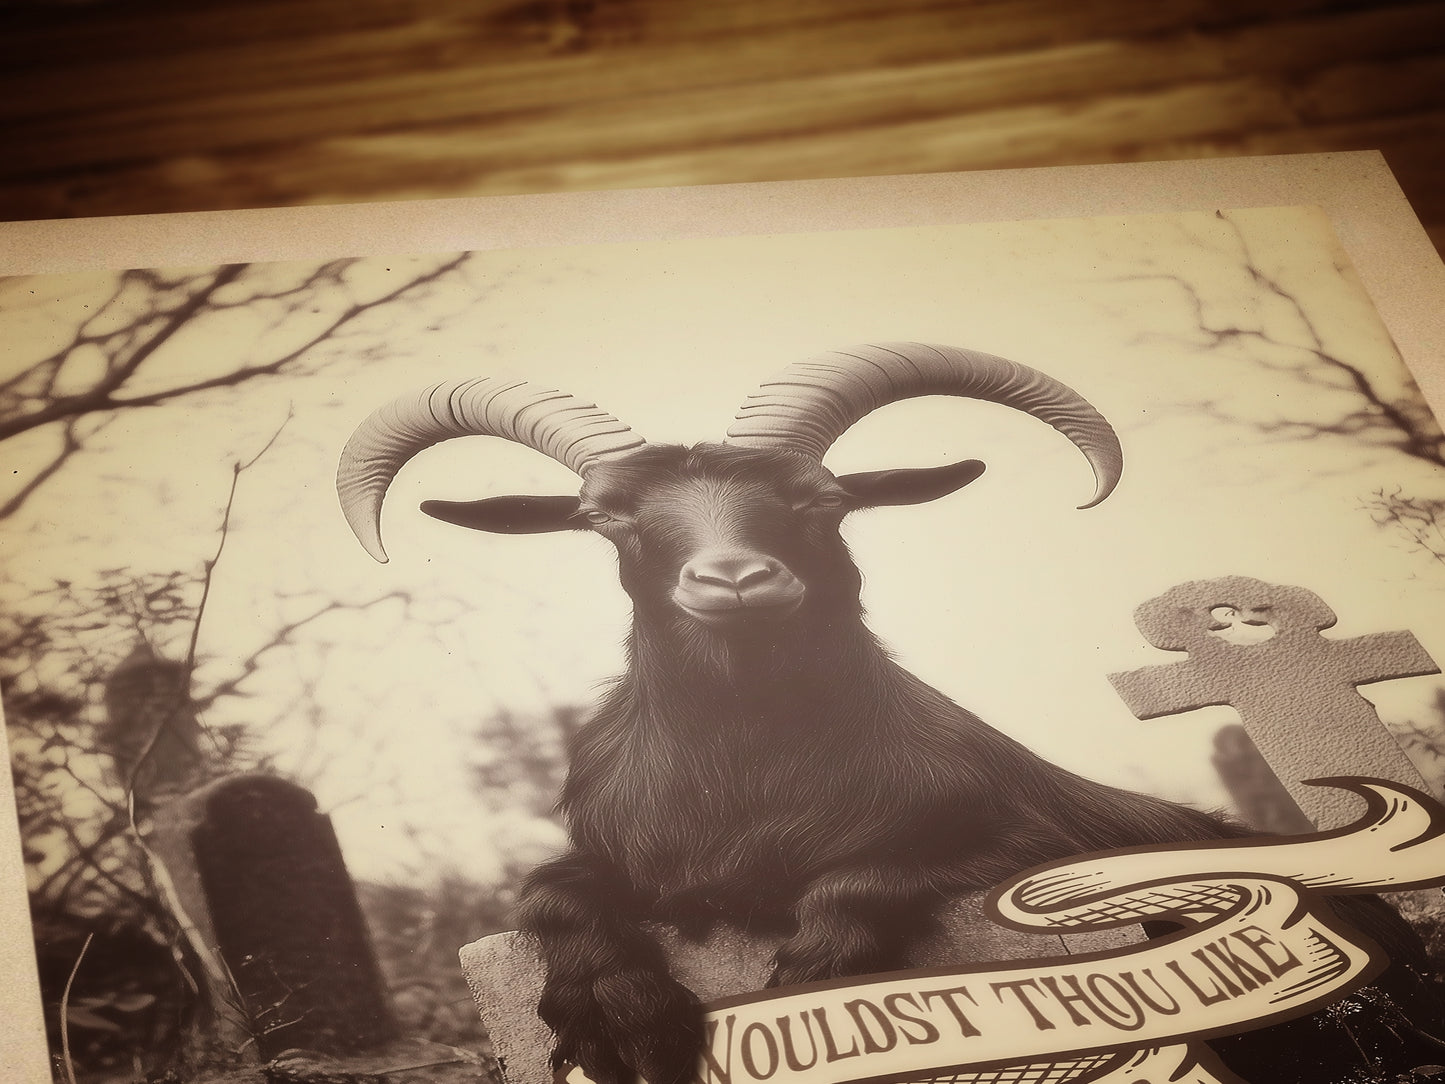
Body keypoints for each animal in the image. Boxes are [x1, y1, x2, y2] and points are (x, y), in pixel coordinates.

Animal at [336, 343, 1441, 1084]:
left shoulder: (1017, 845)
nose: (733, 578)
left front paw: (803, 985)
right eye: (609, 518)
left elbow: (863, 877)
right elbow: (549, 892)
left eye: (820, 501)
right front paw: (627, 1018)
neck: (741, 782)